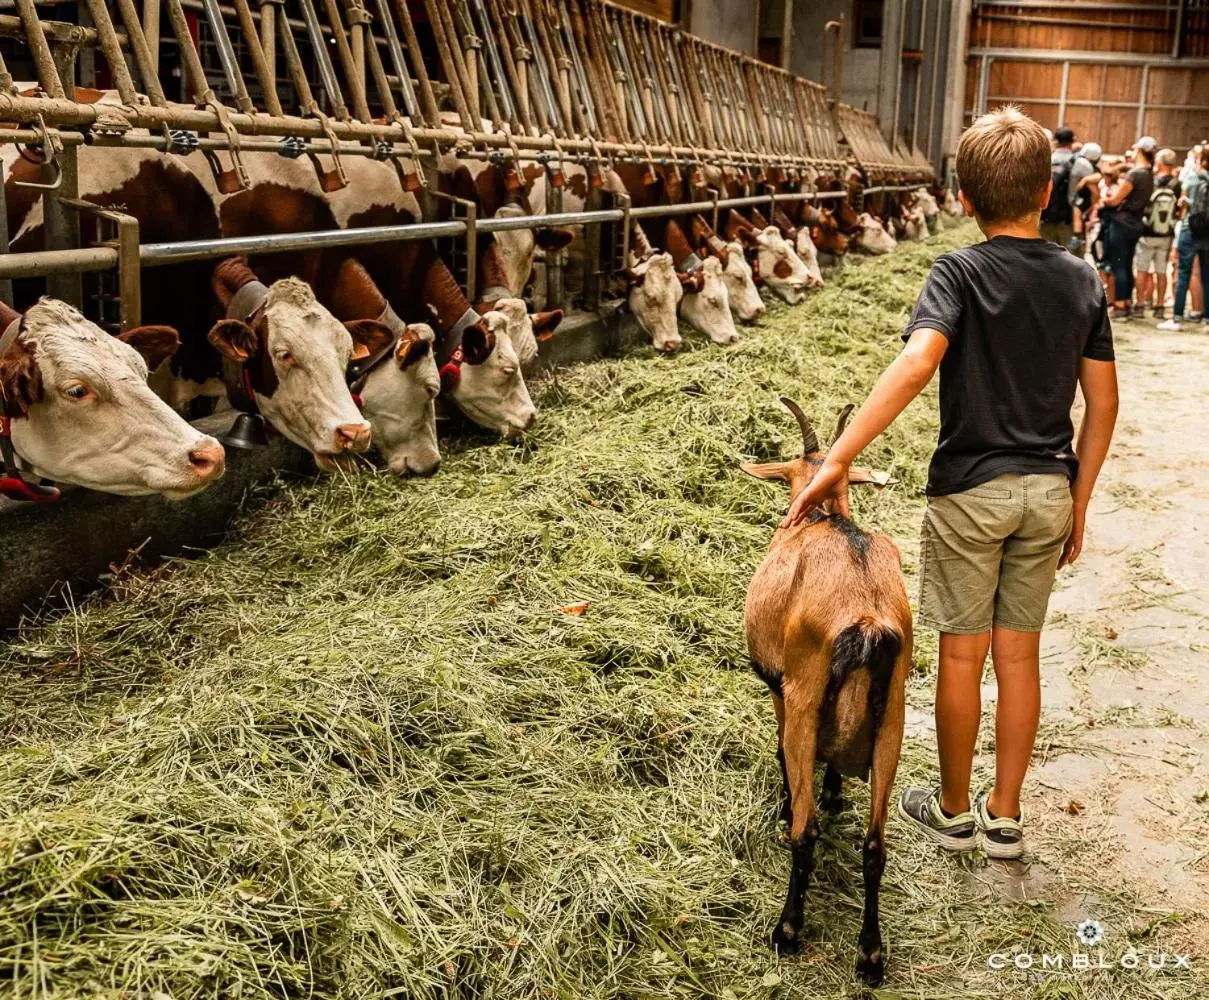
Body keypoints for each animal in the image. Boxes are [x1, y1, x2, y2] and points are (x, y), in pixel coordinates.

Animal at [739, 396, 909, 986]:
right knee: (876, 844)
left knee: (806, 833)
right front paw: (836, 791)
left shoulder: (784, 687)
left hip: (808, 696)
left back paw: (787, 931)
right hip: (893, 719)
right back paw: (871, 956)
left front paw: (789, 798)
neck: (824, 520)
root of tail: (867, 618)